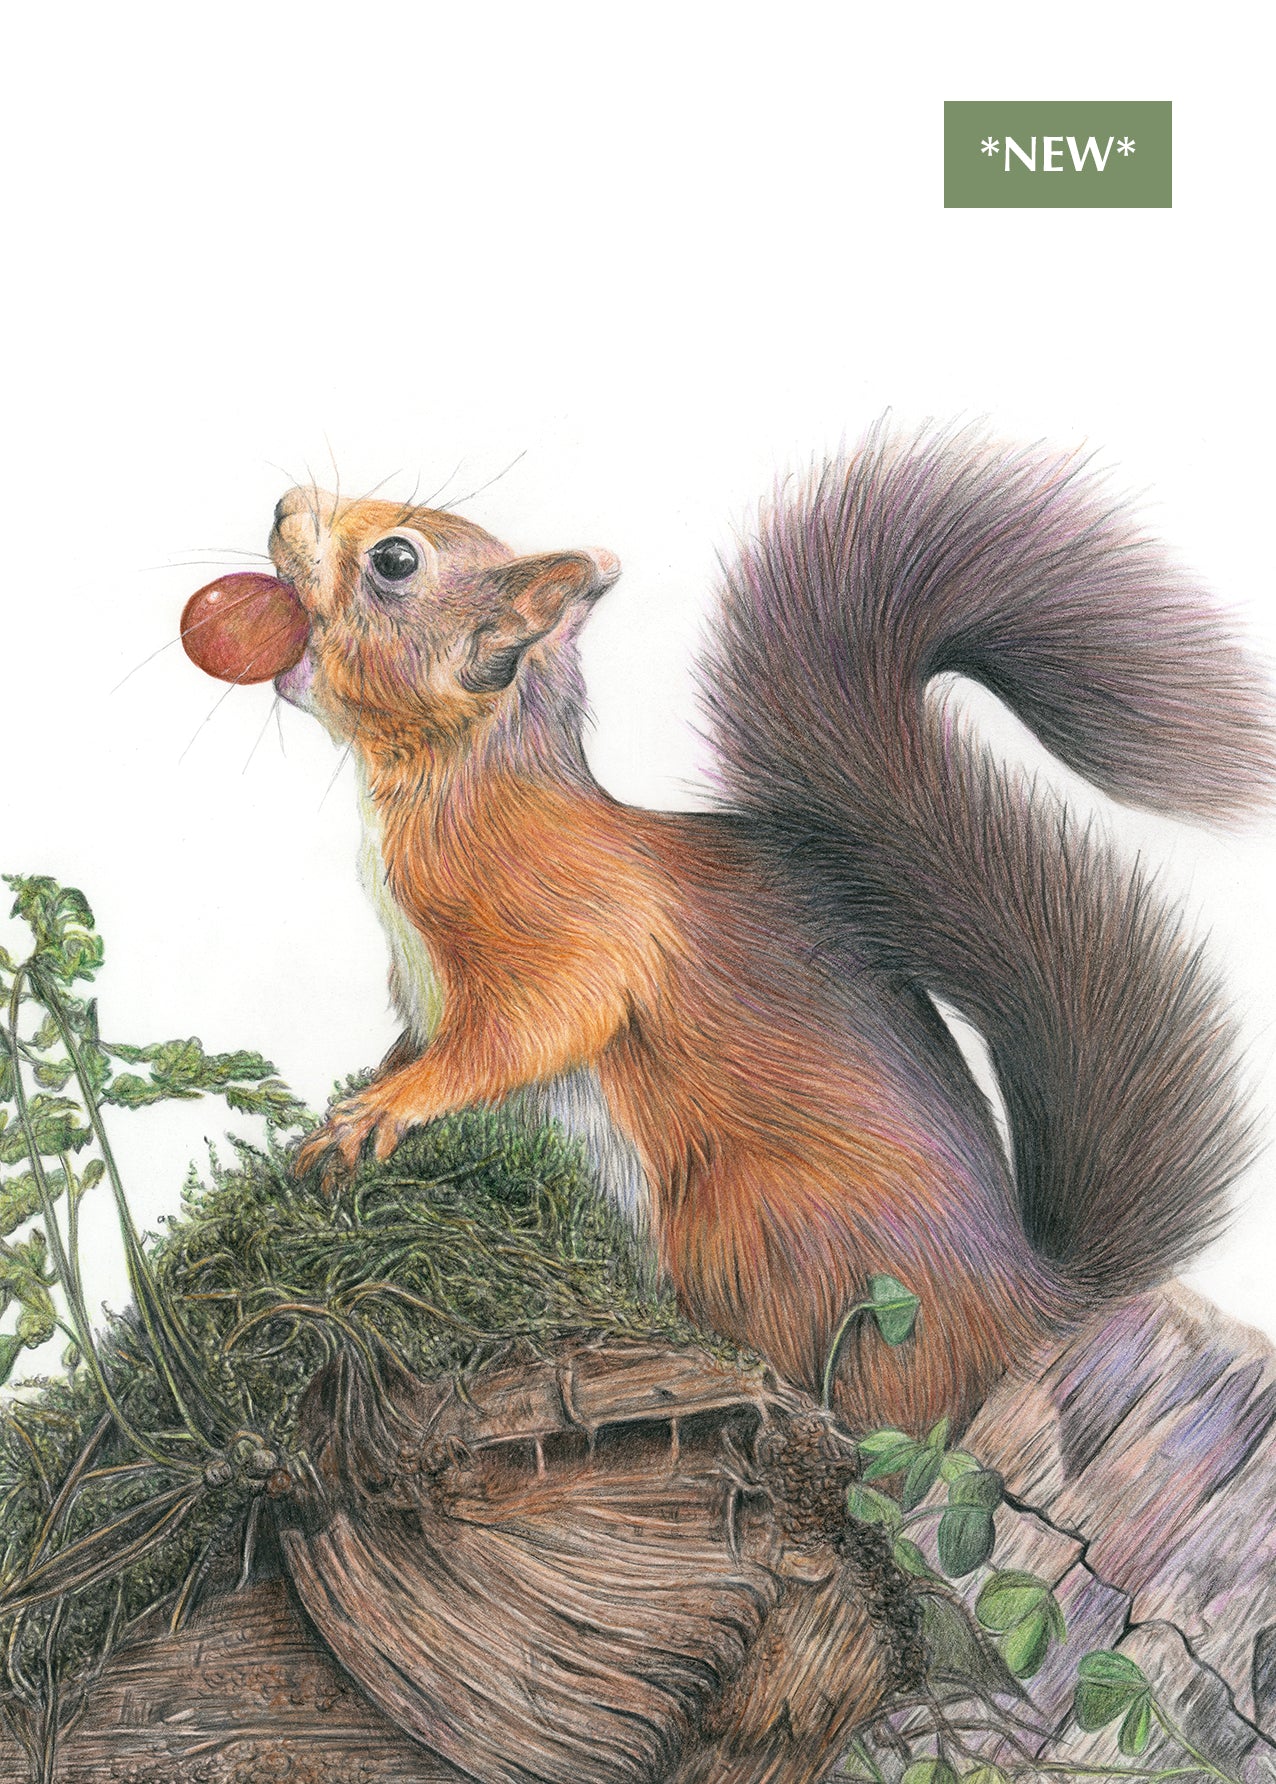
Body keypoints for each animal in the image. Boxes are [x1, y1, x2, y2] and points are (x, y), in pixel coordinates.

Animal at [262, 427, 1274, 1436]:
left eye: (396, 561)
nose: (283, 505)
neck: (451, 791)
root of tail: (1026, 1307)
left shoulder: (567, 924)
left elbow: (534, 1027)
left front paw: (384, 1110)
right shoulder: (424, 985)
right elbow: (422, 1040)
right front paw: (355, 1099)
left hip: (756, 1225)